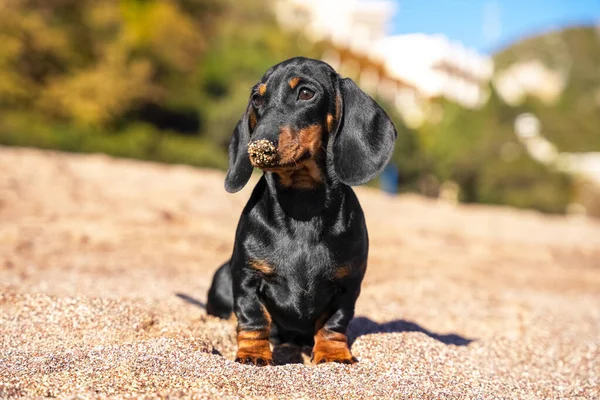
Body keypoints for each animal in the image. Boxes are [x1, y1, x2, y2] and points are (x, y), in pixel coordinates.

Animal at [206, 56, 398, 366]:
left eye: (306, 93)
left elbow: (335, 322)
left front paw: (333, 355)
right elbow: (253, 316)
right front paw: (253, 354)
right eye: (257, 99)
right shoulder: (247, 277)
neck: (303, 207)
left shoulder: (347, 285)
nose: (257, 145)